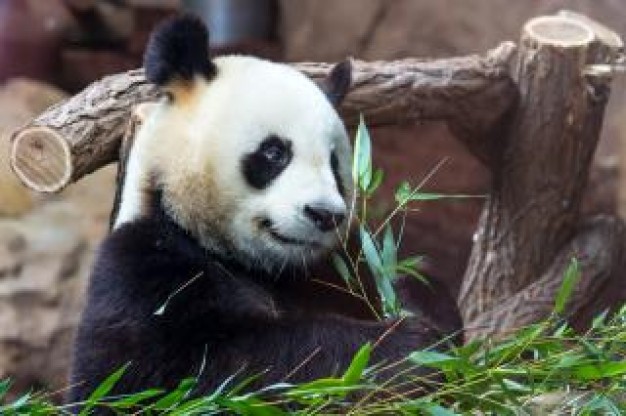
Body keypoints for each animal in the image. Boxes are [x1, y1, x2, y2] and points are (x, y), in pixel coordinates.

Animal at [68, 15, 460, 406]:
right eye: (274, 153)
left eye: (335, 163)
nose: (324, 214)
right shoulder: (144, 266)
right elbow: (217, 368)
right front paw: (408, 351)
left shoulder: (339, 264)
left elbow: (400, 284)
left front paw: (427, 322)